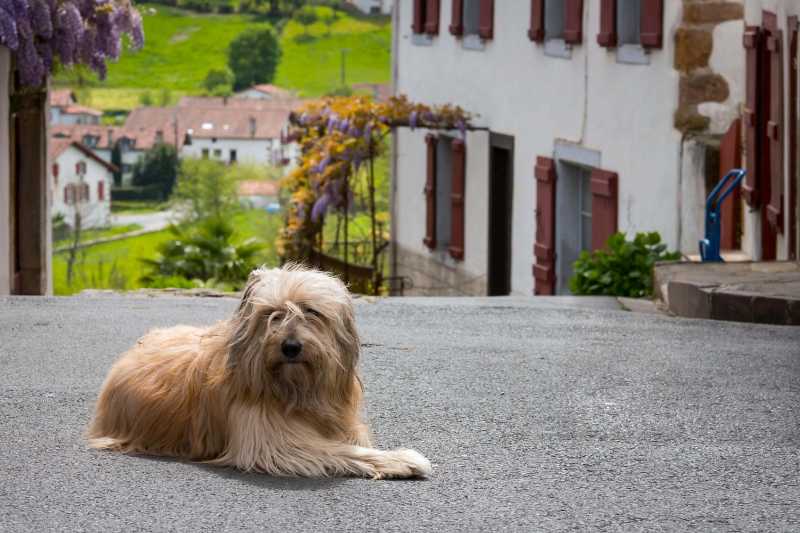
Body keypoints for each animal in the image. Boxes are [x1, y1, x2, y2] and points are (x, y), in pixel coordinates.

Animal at [87, 266, 432, 478]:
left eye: (311, 312)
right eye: (272, 315)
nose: (290, 347)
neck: (295, 389)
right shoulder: (273, 444)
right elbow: (344, 451)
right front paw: (404, 460)